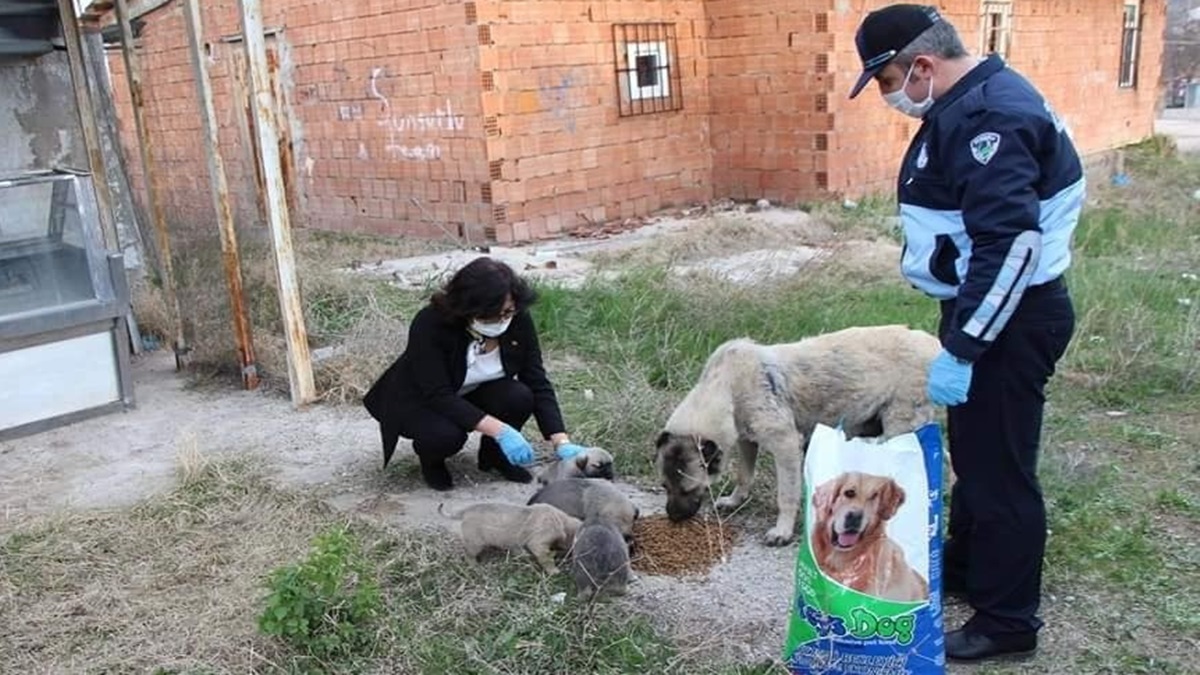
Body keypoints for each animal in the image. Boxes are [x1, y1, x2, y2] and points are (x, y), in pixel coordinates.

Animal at [441, 499, 580, 571]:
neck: (561, 521)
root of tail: (466, 511)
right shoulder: (538, 543)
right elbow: (546, 558)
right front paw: (553, 570)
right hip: (475, 543)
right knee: (468, 555)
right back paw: (475, 566)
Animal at [652, 324, 940, 542]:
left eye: (689, 489)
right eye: (665, 486)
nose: (673, 518)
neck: (726, 386)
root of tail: (934, 345)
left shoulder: (786, 446)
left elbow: (787, 494)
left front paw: (783, 530)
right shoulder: (747, 440)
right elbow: (744, 476)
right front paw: (735, 500)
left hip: (899, 428)